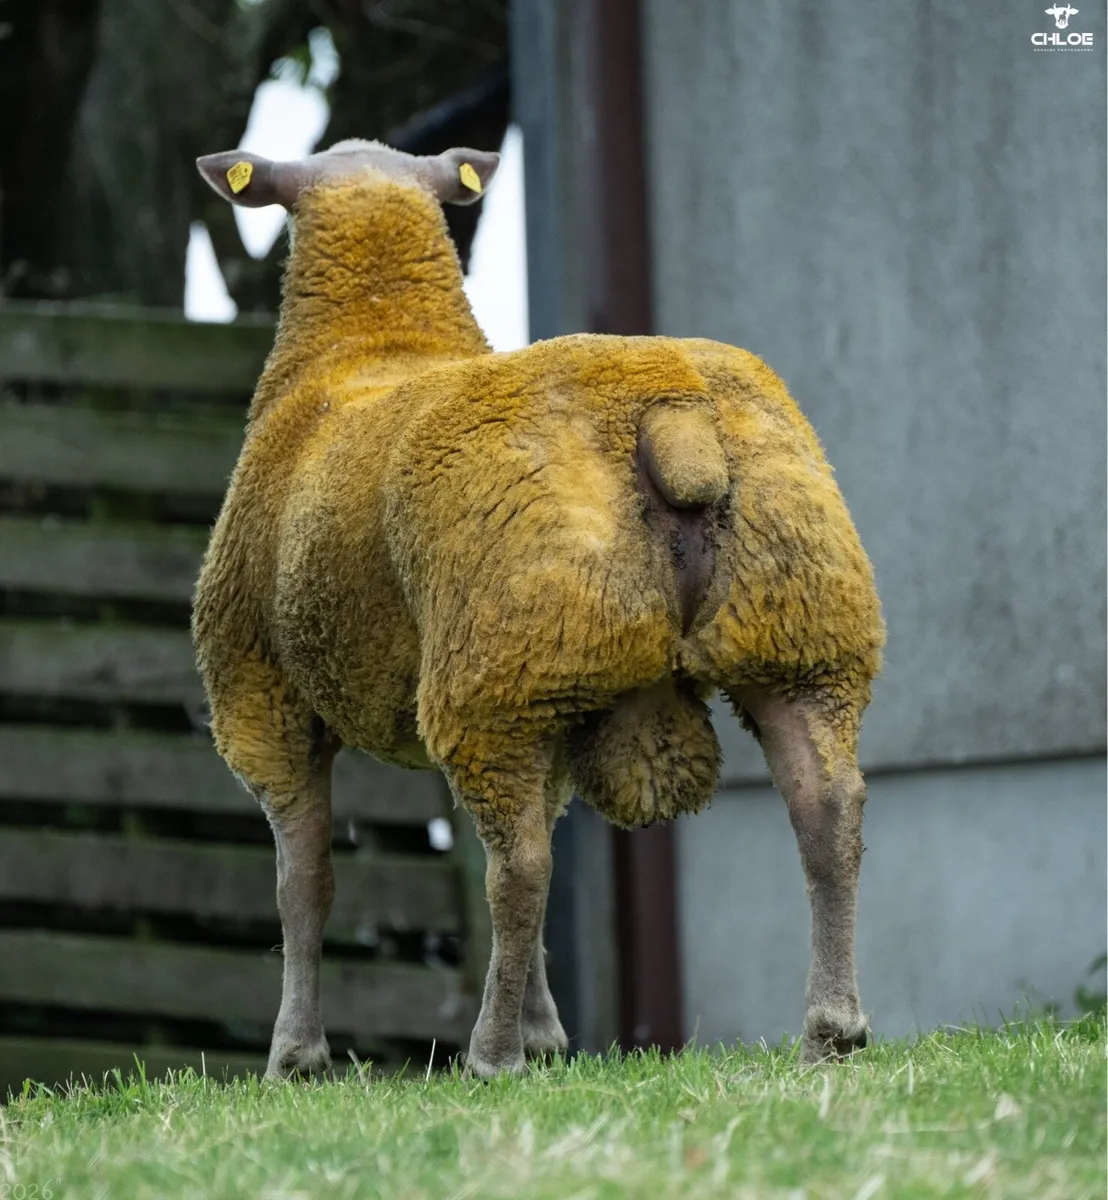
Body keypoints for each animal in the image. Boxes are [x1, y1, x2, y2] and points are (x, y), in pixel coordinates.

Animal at [193, 137, 885, 1080]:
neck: (375, 345)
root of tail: (669, 409)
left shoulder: (263, 694)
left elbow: (305, 882)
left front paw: (296, 1057)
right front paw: (547, 1032)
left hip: (501, 674)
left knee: (517, 866)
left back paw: (490, 1057)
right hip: (784, 632)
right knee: (826, 811)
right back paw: (831, 1030)